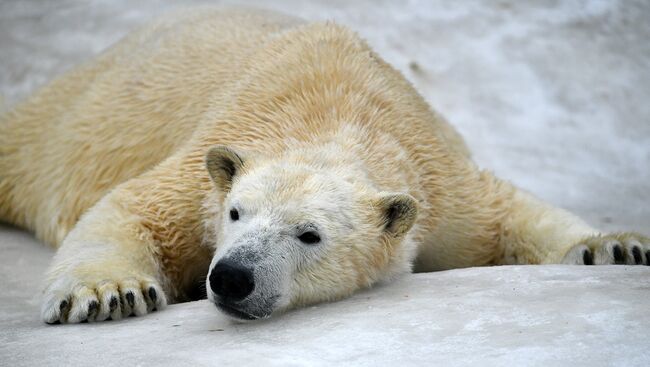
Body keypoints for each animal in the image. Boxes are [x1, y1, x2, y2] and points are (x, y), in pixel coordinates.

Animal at [0, 8, 644, 324]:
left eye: (309, 234)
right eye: (236, 213)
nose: (231, 277)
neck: (334, 114)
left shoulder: (439, 178)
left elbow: (506, 212)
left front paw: (615, 246)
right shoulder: (211, 156)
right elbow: (132, 207)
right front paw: (109, 294)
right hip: (73, 111)